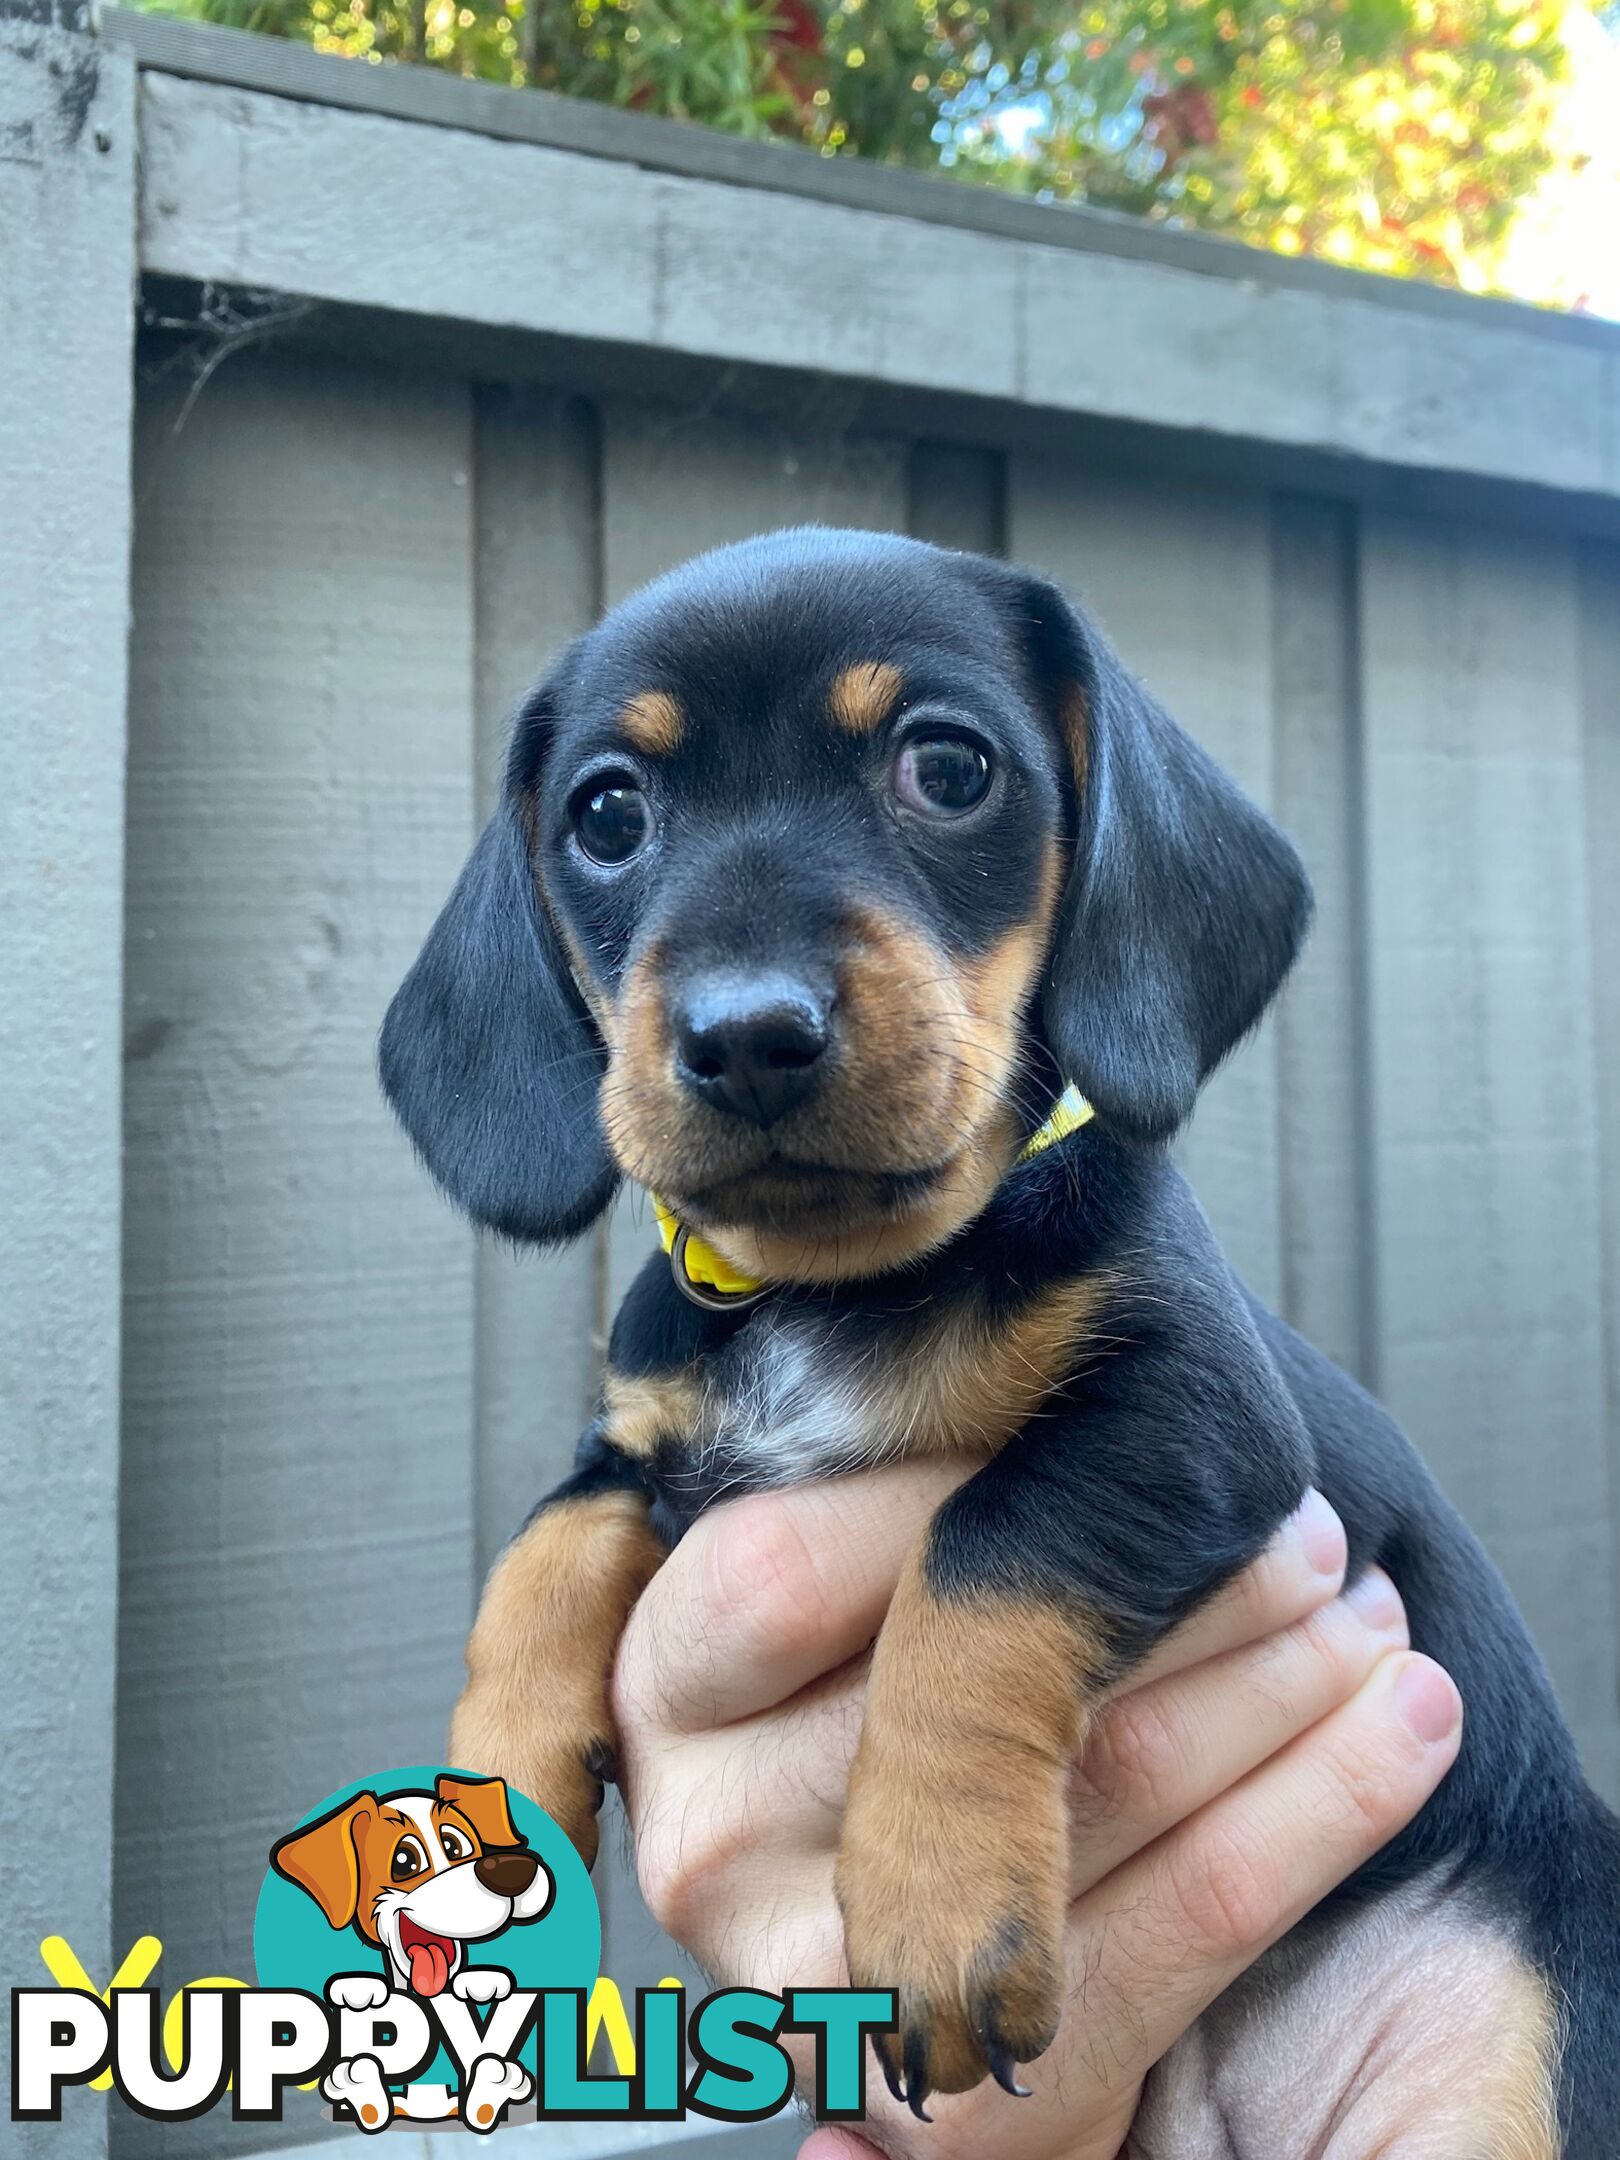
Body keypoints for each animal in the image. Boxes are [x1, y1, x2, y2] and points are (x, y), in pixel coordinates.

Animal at [384, 531, 1620, 2151]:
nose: (746, 1033)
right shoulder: (646, 1444)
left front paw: (935, 1900)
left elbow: (981, 1557)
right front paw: (492, 1772)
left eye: (949, 767)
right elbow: (538, 1554)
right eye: (606, 814)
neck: (845, 1283)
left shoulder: (1192, 1417)